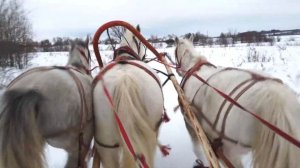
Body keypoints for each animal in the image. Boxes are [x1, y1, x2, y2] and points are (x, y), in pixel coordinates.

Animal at [173, 36, 300, 167]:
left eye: (174, 51)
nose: (177, 71)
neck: (194, 67)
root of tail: (275, 96)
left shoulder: (190, 122)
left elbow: (198, 150)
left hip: (228, 150)